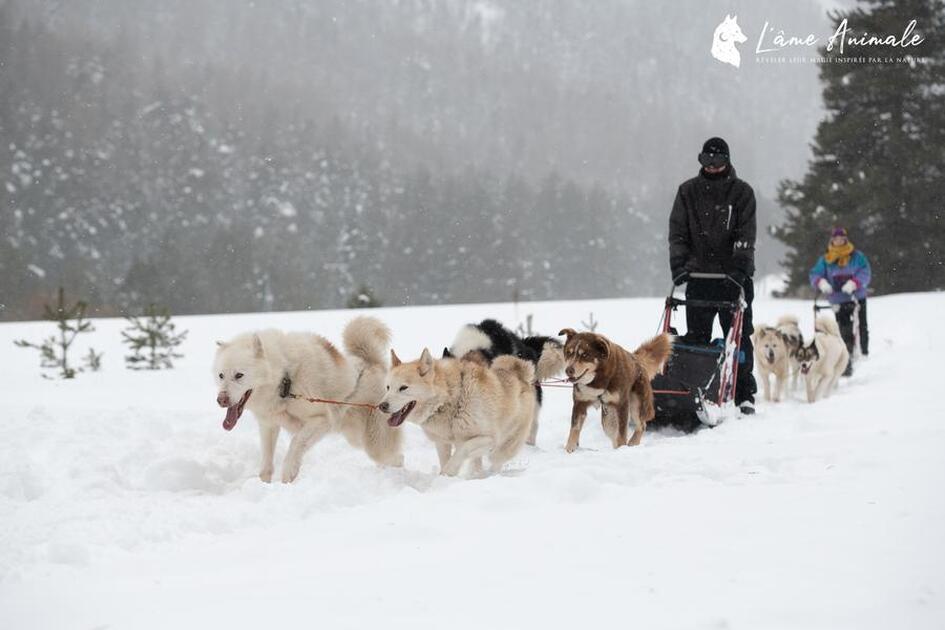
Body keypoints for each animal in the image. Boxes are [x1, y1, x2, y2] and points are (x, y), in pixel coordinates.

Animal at [214, 316, 402, 484]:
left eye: (239, 375)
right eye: (221, 375)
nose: (221, 400)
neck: (285, 379)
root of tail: (373, 364)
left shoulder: (321, 421)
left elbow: (295, 443)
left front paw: (288, 474)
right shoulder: (269, 425)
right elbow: (266, 464)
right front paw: (265, 484)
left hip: (375, 443)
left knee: (396, 458)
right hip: (355, 437)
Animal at [380, 348, 536, 476]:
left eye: (403, 388)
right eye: (388, 387)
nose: (381, 406)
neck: (451, 399)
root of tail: (520, 375)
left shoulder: (488, 438)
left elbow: (462, 451)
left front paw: (449, 472)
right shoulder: (442, 443)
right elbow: (446, 459)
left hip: (503, 448)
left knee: (495, 462)